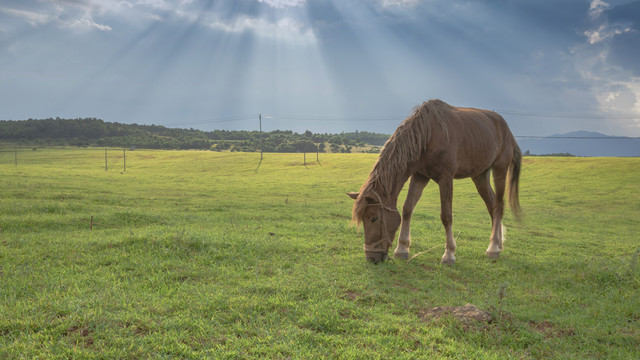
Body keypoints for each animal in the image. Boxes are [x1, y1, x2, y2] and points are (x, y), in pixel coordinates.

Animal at [350, 100, 520, 262]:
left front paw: (449, 254)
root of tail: (506, 127)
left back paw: (493, 249)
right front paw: (402, 249)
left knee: (499, 206)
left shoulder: (446, 178)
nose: (371, 257)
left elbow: (446, 216)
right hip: (480, 176)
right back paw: (497, 244)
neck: (428, 135)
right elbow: (407, 209)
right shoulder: (419, 176)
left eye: (374, 218)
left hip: (500, 169)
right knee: (492, 206)